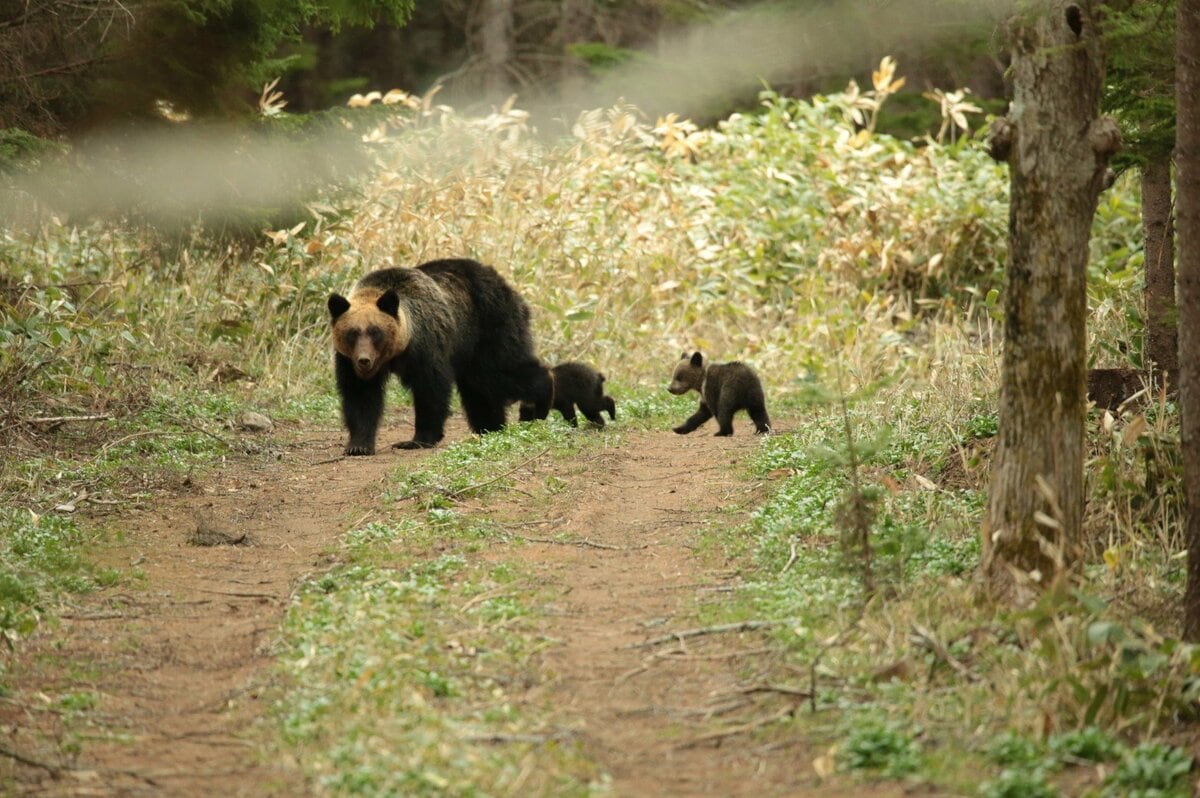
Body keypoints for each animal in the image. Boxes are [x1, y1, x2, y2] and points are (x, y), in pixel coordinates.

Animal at [328, 258, 552, 455]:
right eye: (352, 333)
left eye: (375, 332)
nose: (364, 360)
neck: (396, 352)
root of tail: (507, 285)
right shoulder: (348, 361)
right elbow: (360, 395)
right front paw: (358, 445)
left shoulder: (425, 345)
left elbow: (431, 389)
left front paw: (418, 439)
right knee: (479, 388)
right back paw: (490, 427)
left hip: (489, 326)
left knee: (499, 372)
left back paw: (539, 402)